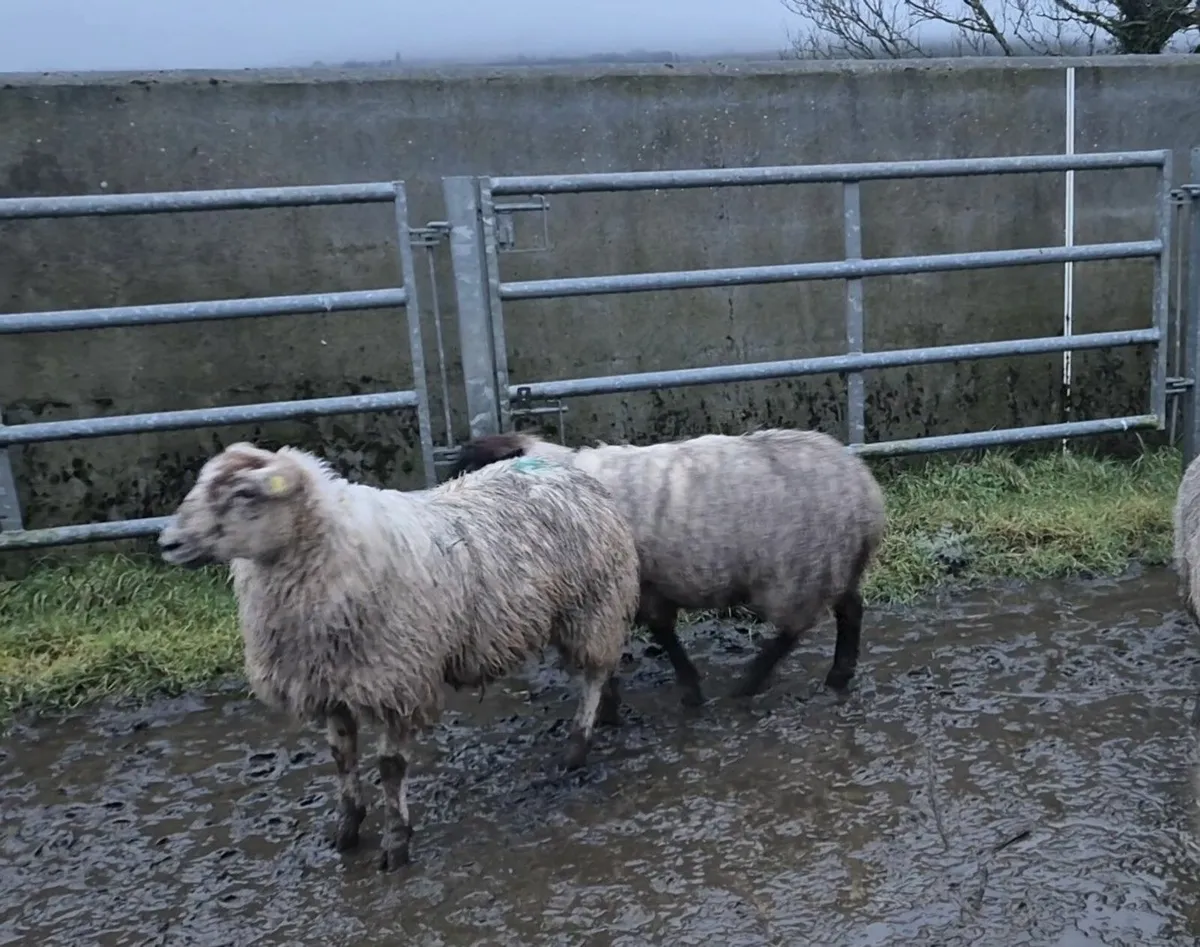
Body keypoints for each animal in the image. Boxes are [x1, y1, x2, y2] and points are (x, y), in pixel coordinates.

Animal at [156, 441, 640, 870]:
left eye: (244, 493)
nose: (168, 542)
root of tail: (565, 466)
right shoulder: (329, 683)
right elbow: (341, 756)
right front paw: (347, 829)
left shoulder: (395, 682)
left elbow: (390, 768)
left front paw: (395, 843)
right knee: (604, 664)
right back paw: (609, 712)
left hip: (592, 602)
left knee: (593, 673)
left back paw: (578, 744)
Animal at [451, 427, 887, 706]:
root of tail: (866, 494)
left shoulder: (638, 588)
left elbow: (661, 634)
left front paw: (689, 690)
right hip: (832, 567)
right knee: (850, 610)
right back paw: (838, 675)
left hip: (797, 575)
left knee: (793, 631)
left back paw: (749, 684)